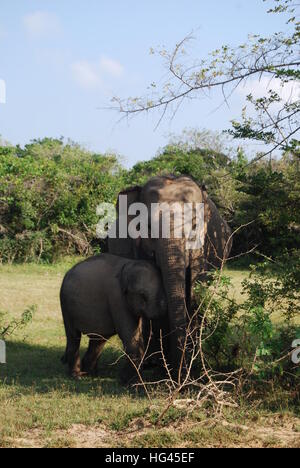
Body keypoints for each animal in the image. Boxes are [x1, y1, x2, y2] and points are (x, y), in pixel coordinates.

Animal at [59, 254, 168, 382]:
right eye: (142, 295)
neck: (128, 267)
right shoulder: (117, 297)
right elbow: (129, 335)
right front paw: (130, 382)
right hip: (66, 305)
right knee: (74, 336)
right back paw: (77, 376)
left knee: (98, 340)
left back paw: (91, 374)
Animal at [108, 176, 232, 380]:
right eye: (149, 227)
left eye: (195, 226)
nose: (178, 376)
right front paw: (162, 367)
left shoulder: (203, 246)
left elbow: (194, 292)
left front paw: (191, 367)